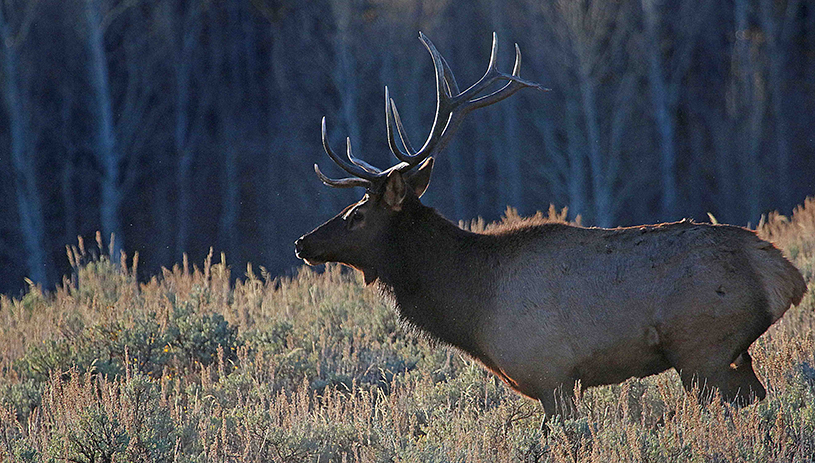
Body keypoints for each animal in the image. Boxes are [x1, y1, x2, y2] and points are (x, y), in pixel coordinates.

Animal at [292, 31, 804, 416]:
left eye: (357, 214)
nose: (302, 242)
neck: (472, 306)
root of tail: (784, 275)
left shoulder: (551, 372)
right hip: (732, 355)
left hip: (703, 350)